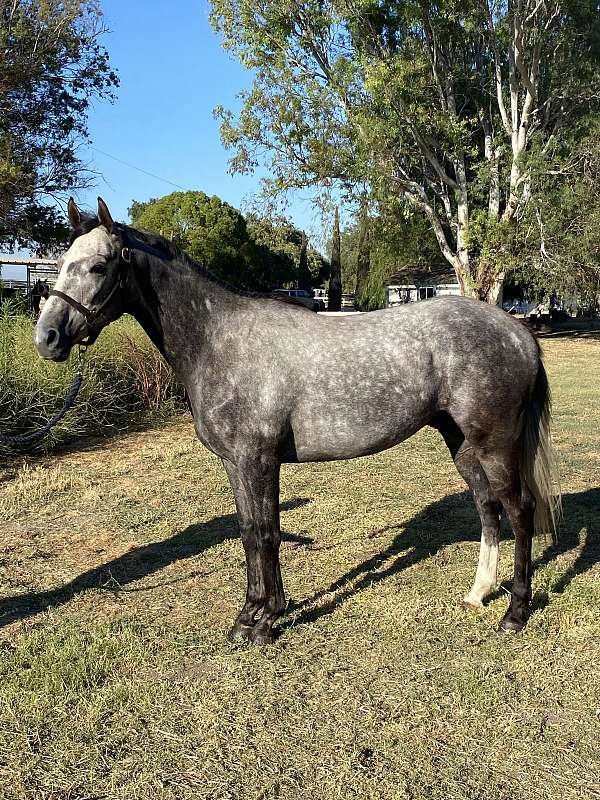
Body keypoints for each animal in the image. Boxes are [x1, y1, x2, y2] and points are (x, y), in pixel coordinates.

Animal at [32, 198, 556, 644]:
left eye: (99, 265)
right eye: (61, 262)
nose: (47, 338)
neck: (219, 340)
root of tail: (517, 331)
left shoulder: (259, 459)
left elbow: (267, 533)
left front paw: (266, 623)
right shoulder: (236, 463)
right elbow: (250, 531)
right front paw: (251, 615)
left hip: (494, 443)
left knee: (520, 509)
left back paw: (515, 612)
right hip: (461, 442)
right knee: (488, 507)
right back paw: (478, 593)